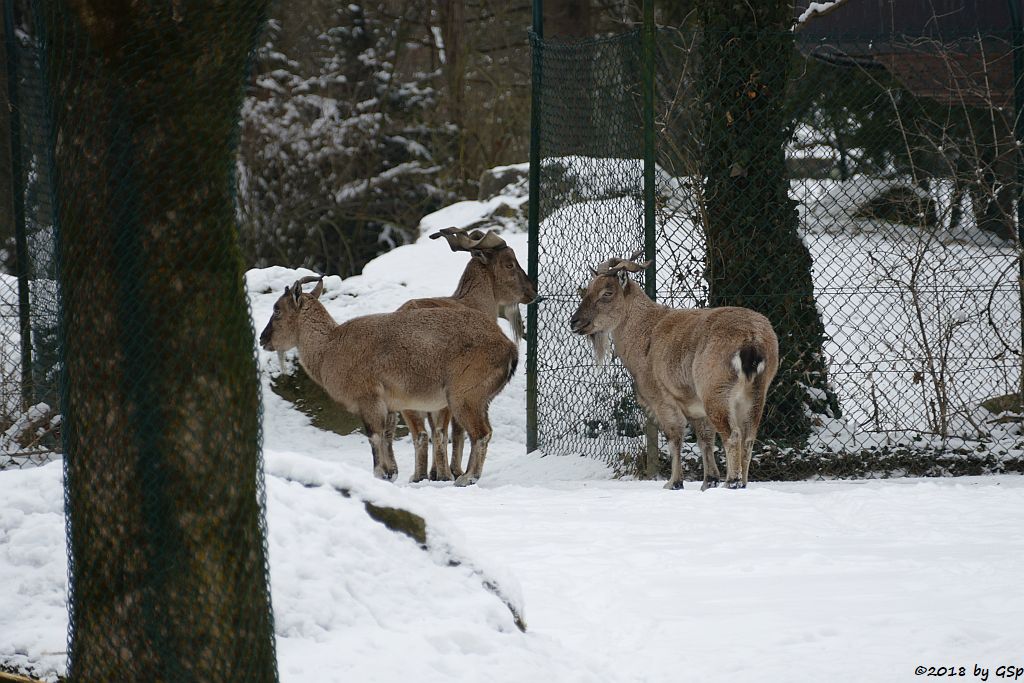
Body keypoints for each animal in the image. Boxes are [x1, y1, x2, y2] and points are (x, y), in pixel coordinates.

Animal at [260, 274, 516, 483]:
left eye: (277, 310)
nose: (263, 339)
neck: (330, 348)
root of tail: (509, 347)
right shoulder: (391, 405)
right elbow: (387, 435)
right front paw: (391, 472)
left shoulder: (369, 398)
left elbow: (374, 435)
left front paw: (379, 473)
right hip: (480, 399)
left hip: (464, 395)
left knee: (481, 433)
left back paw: (467, 477)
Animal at [573, 253, 778, 489]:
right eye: (588, 289)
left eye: (607, 292)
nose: (575, 322)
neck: (644, 335)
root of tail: (753, 340)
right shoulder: (695, 407)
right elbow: (705, 439)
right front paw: (708, 481)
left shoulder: (662, 400)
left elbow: (675, 438)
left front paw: (673, 482)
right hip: (756, 393)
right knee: (749, 436)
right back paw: (741, 482)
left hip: (716, 391)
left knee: (733, 435)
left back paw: (732, 481)